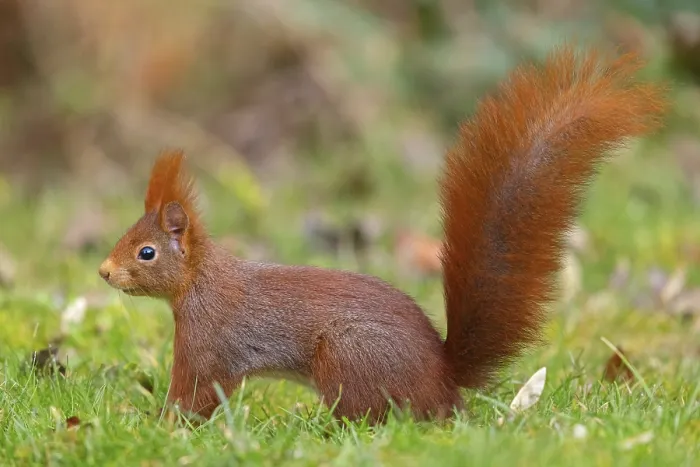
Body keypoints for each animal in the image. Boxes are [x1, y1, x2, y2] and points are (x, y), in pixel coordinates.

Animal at [98, 46, 667, 423]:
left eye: (146, 252)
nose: (103, 272)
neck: (200, 282)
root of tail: (442, 380)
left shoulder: (210, 342)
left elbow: (197, 393)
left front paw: (163, 425)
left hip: (347, 360)